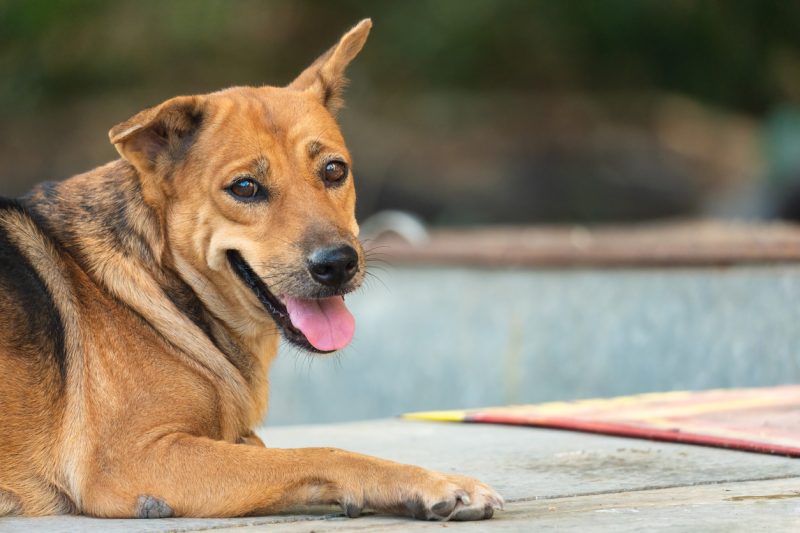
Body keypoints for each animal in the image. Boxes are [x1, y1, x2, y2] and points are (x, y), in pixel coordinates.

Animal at [0, 19, 504, 520]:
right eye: (244, 187)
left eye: (334, 170)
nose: (338, 264)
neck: (163, 279)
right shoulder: (131, 457)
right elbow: (319, 452)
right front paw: (430, 483)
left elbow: (274, 452)